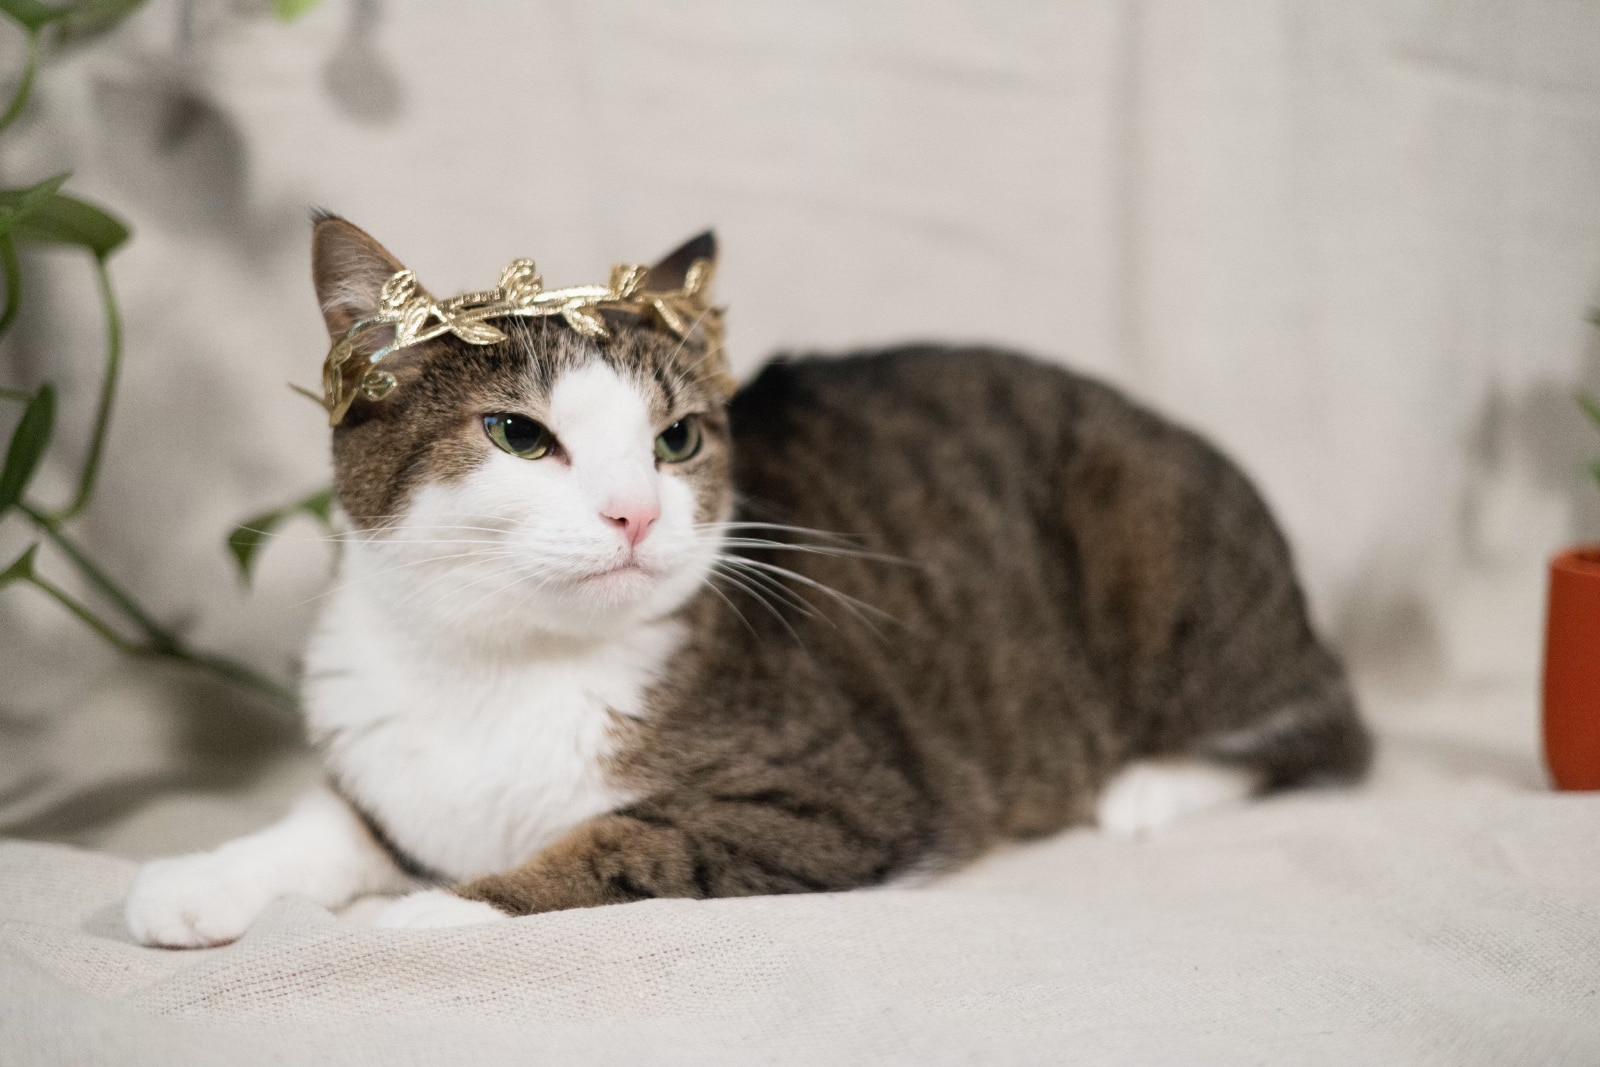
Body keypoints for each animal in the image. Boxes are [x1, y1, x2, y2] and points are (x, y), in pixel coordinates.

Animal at [124, 212, 1369, 947]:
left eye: (675, 440)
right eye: (519, 434)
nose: (633, 510)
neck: (500, 665)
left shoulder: (834, 792)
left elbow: (625, 843)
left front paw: (435, 909)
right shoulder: (382, 744)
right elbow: (331, 816)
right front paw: (197, 879)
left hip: (1156, 547)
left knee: (1328, 732)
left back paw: (1149, 783)